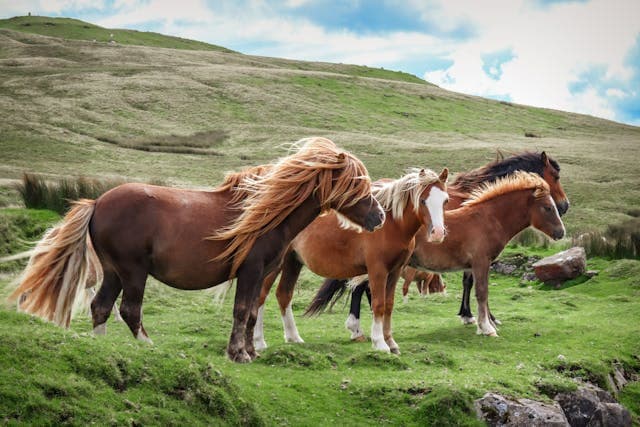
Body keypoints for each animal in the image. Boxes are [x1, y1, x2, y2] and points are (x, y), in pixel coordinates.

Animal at [8, 137, 386, 363]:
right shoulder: (250, 271)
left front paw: (250, 351)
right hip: (133, 272)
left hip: (115, 271)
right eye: (358, 184)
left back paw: (102, 347)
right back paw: (148, 346)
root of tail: (97, 202)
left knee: (101, 307)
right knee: (129, 310)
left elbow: (251, 313)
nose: (380, 216)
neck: (264, 213)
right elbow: (241, 312)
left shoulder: (262, 273)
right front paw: (238, 354)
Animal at [253, 167, 449, 354]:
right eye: (422, 200)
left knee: (284, 294)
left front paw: (391, 342)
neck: (391, 224)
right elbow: (378, 304)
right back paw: (259, 342)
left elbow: (388, 305)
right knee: (261, 296)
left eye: (445, 200)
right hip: (276, 266)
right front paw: (380, 343)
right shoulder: (377, 270)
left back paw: (293, 337)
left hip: (292, 262)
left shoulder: (394, 271)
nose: (438, 233)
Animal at [308, 171, 565, 338]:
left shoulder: (471, 266)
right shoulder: (481, 263)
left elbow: (474, 290)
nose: (561, 232)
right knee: (361, 288)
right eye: (547, 207)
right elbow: (482, 293)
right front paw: (487, 328)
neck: (487, 219)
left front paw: (476, 320)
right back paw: (360, 330)